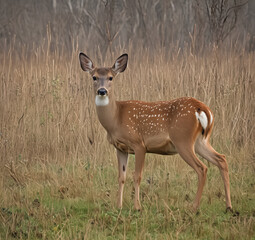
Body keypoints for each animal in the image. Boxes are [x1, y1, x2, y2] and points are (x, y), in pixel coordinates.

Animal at [78, 52, 232, 212]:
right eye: (94, 77)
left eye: (110, 77)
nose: (102, 91)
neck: (116, 118)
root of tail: (202, 108)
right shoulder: (120, 148)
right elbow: (121, 177)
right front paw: (118, 206)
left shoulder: (139, 144)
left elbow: (137, 175)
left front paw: (137, 207)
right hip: (201, 141)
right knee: (221, 159)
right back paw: (228, 206)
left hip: (183, 139)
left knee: (202, 168)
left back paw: (194, 207)